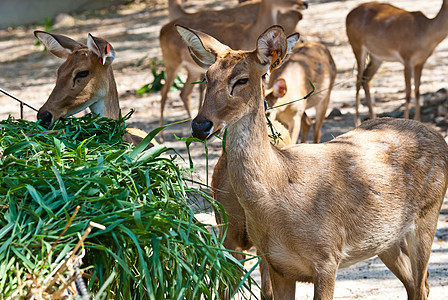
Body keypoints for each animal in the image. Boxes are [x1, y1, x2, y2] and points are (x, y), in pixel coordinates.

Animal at [158, 0, 308, 130]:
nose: (304, 4)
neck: (250, 31)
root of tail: (162, 30)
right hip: (172, 64)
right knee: (165, 92)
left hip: (190, 70)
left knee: (184, 93)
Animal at [177, 25, 448, 300]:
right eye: (207, 77)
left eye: (242, 79)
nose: (200, 125)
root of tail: (438, 135)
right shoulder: (277, 264)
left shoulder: (327, 256)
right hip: (385, 238)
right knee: (416, 284)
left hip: (427, 215)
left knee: (421, 283)